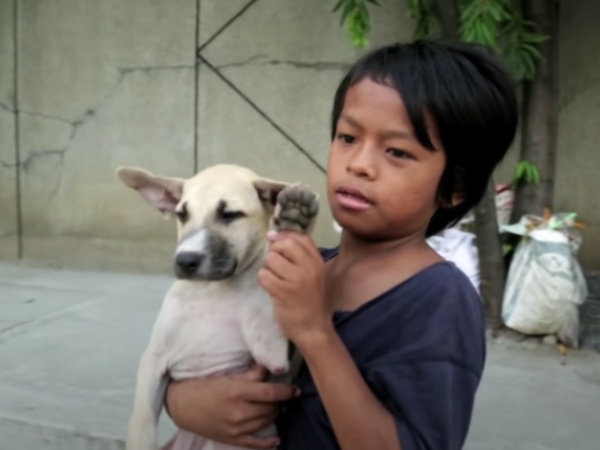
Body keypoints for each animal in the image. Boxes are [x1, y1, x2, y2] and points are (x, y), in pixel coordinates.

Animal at [117, 163, 322, 450]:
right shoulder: (153, 362)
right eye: (182, 214)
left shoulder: (273, 356)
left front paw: (295, 221)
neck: (213, 290)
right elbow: (141, 424)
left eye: (230, 215)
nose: (185, 260)